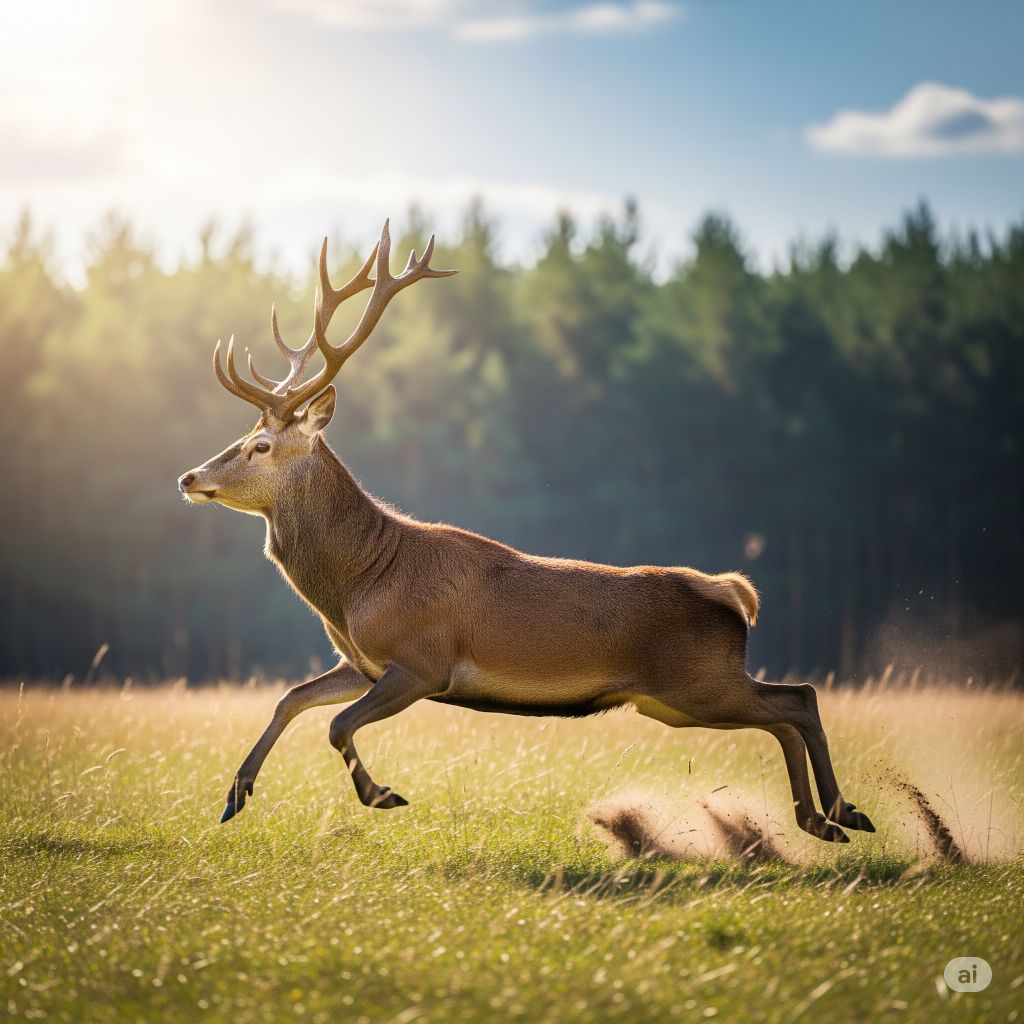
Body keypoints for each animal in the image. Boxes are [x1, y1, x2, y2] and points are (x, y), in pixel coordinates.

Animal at [178, 219, 875, 843]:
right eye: (242, 436)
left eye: (260, 446)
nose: (189, 477)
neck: (358, 585)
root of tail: (734, 594)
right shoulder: (362, 662)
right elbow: (291, 699)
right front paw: (234, 796)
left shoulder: (422, 662)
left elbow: (337, 726)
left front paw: (382, 794)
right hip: (680, 701)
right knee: (784, 711)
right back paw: (822, 820)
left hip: (699, 682)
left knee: (799, 697)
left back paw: (843, 812)